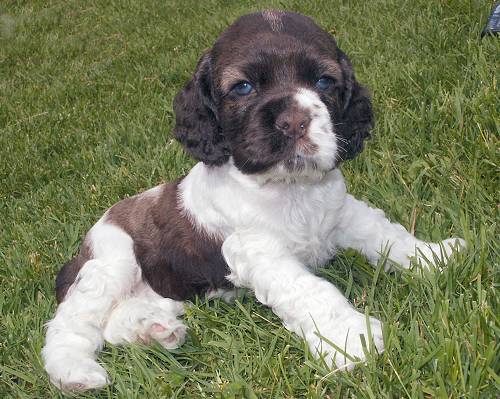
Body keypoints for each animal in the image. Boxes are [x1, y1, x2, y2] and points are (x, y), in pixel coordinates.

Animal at [42, 10, 464, 394]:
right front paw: (349, 338)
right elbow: (310, 290)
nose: (294, 121)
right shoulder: (257, 251)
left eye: (324, 81)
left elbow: (385, 233)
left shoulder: (343, 211)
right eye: (243, 87)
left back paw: (153, 331)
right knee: (70, 324)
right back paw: (75, 373)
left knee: (116, 322)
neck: (290, 190)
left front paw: (434, 256)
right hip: (111, 263)